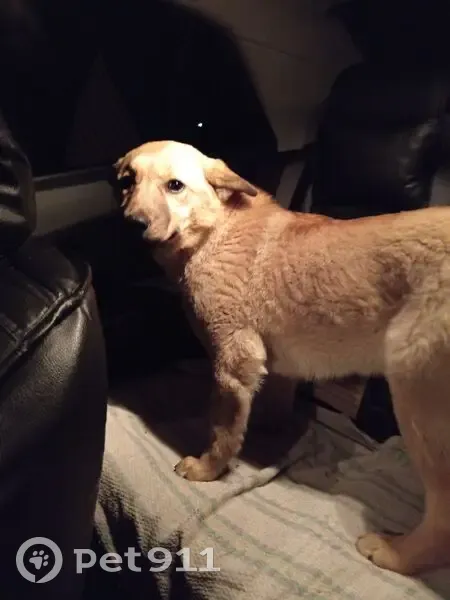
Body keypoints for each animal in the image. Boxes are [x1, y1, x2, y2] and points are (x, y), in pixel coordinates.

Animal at [114, 140, 450, 576]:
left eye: (175, 185)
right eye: (127, 181)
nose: (131, 224)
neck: (215, 230)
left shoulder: (233, 361)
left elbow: (221, 431)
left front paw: (210, 468)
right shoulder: (273, 365)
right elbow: (267, 410)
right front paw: (269, 434)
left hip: (418, 402)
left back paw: (397, 554)